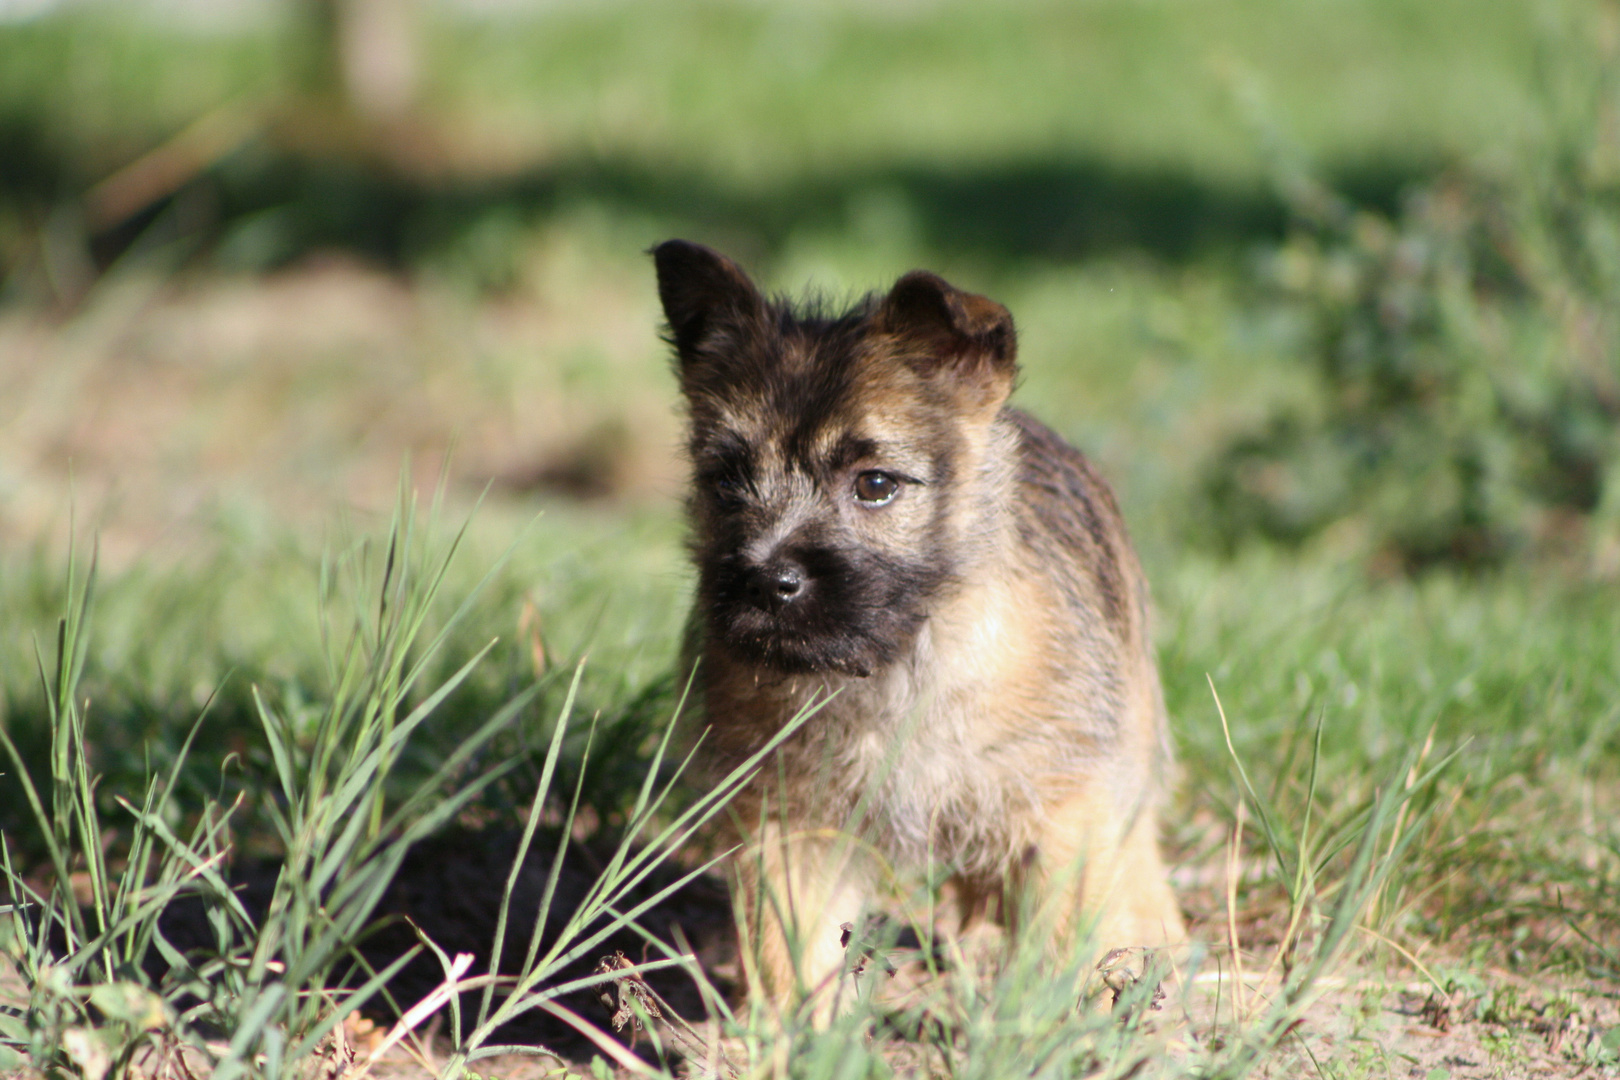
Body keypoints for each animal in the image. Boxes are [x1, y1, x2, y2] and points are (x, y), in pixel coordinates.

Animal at [651, 241, 1185, 1016]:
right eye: (725, 481)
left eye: (877, 484)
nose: (765, 583)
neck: (898, 665)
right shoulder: (789, 822)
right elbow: (790, 955)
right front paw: (793, 1034)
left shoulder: (1061, 809)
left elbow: (1059, 939)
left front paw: (1042, 1028)